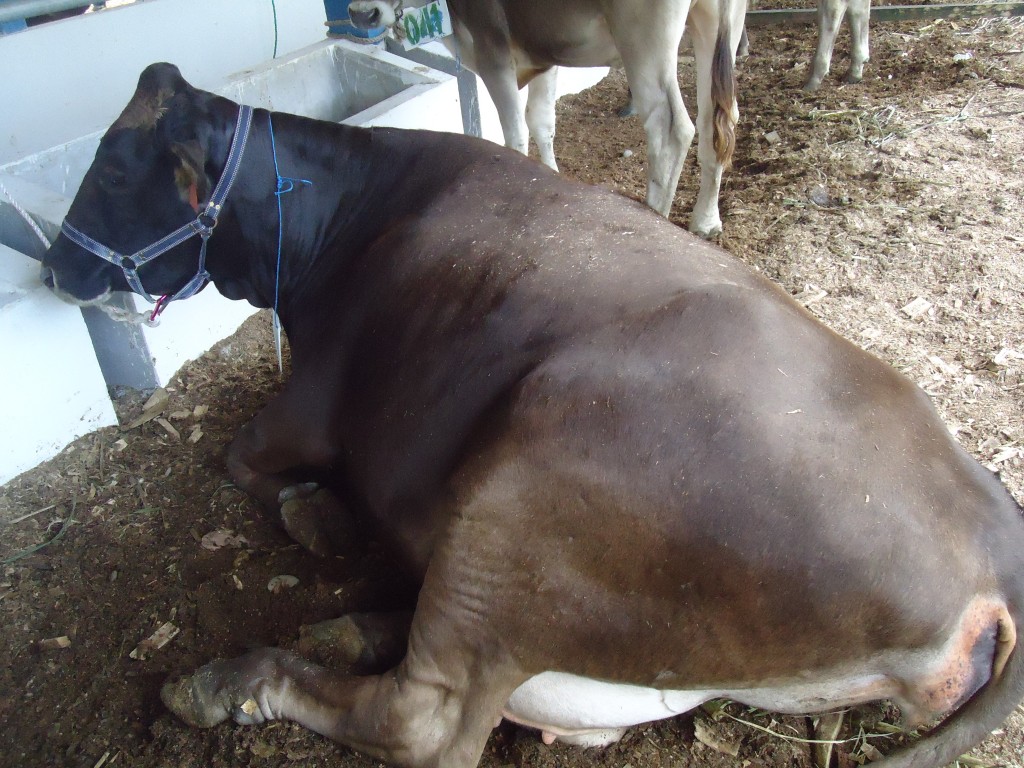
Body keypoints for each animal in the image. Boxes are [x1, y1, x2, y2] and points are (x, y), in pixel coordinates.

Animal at [39, 64, 1024, 768]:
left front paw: (317, 516)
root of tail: (994, 541)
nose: (52, 270)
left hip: (521, 518)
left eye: (114, 169)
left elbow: (242, 458)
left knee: (423, 720)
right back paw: (340, 626)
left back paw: (229, 677)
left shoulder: (315, 397)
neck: (343, 219)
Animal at [350, 0, 745, 234]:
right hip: (717, 24)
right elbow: (541, 122)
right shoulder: (545, 56)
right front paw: (549, 178)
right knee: (718, 119)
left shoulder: (493, 52)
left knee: (670, 127)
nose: (359, 13)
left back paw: (655, 219)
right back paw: (706, 221)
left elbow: (515, 133)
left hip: (644, 39)